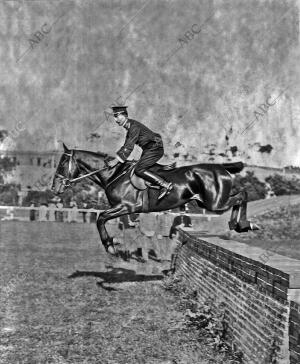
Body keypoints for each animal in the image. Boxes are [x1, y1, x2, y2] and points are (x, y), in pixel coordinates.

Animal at [51, 144, 258, 256]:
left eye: (62, 163)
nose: (55, 188)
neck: (114, 174)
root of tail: (221, 168)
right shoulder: (123, 208)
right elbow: (102, 218)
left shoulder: (126, 206)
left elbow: (100, 218)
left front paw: (109, 247)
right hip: (205, 202)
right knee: (240, 197)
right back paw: (239, 225)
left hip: (215, 202)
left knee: (242, 195)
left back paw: (243, 224)